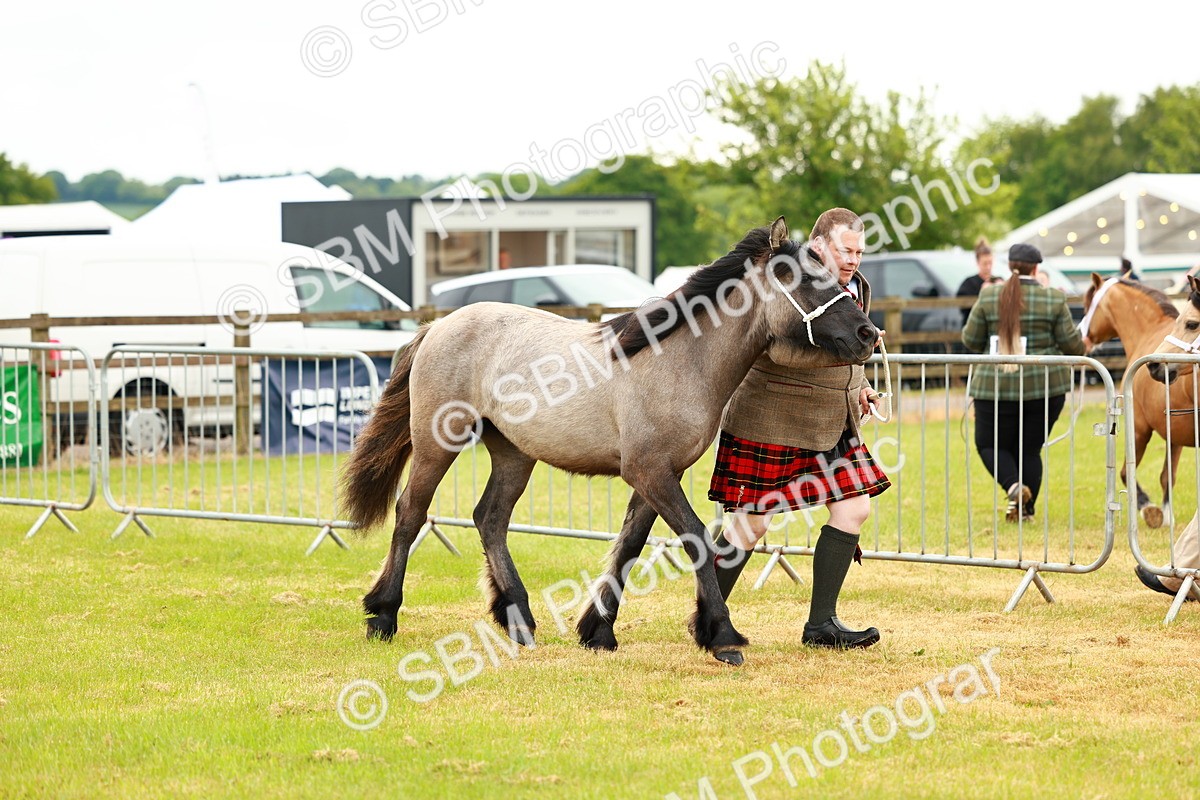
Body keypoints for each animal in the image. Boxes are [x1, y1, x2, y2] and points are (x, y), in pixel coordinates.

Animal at [340, 217, 878, 666]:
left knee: (489, 518)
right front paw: (722, 637)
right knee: (411, 512)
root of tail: (437, 327)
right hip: (439, 442)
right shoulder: (650, 471)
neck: (679, 360)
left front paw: (598, 631)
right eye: (808, 280)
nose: (867, 333)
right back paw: (383, 615)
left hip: (513, 453)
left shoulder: (658, 474)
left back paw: (519, 619)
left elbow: (630, 546)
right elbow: (696, 537)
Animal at [1082, 272, 1193, 528]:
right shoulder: (1175, 432)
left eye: (1087, 304)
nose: (1083, 337)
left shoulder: (1140, 429)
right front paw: (1167, 515)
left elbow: (1125, 472)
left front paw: (1148, 507)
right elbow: (1168, 476)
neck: (1148, 331)